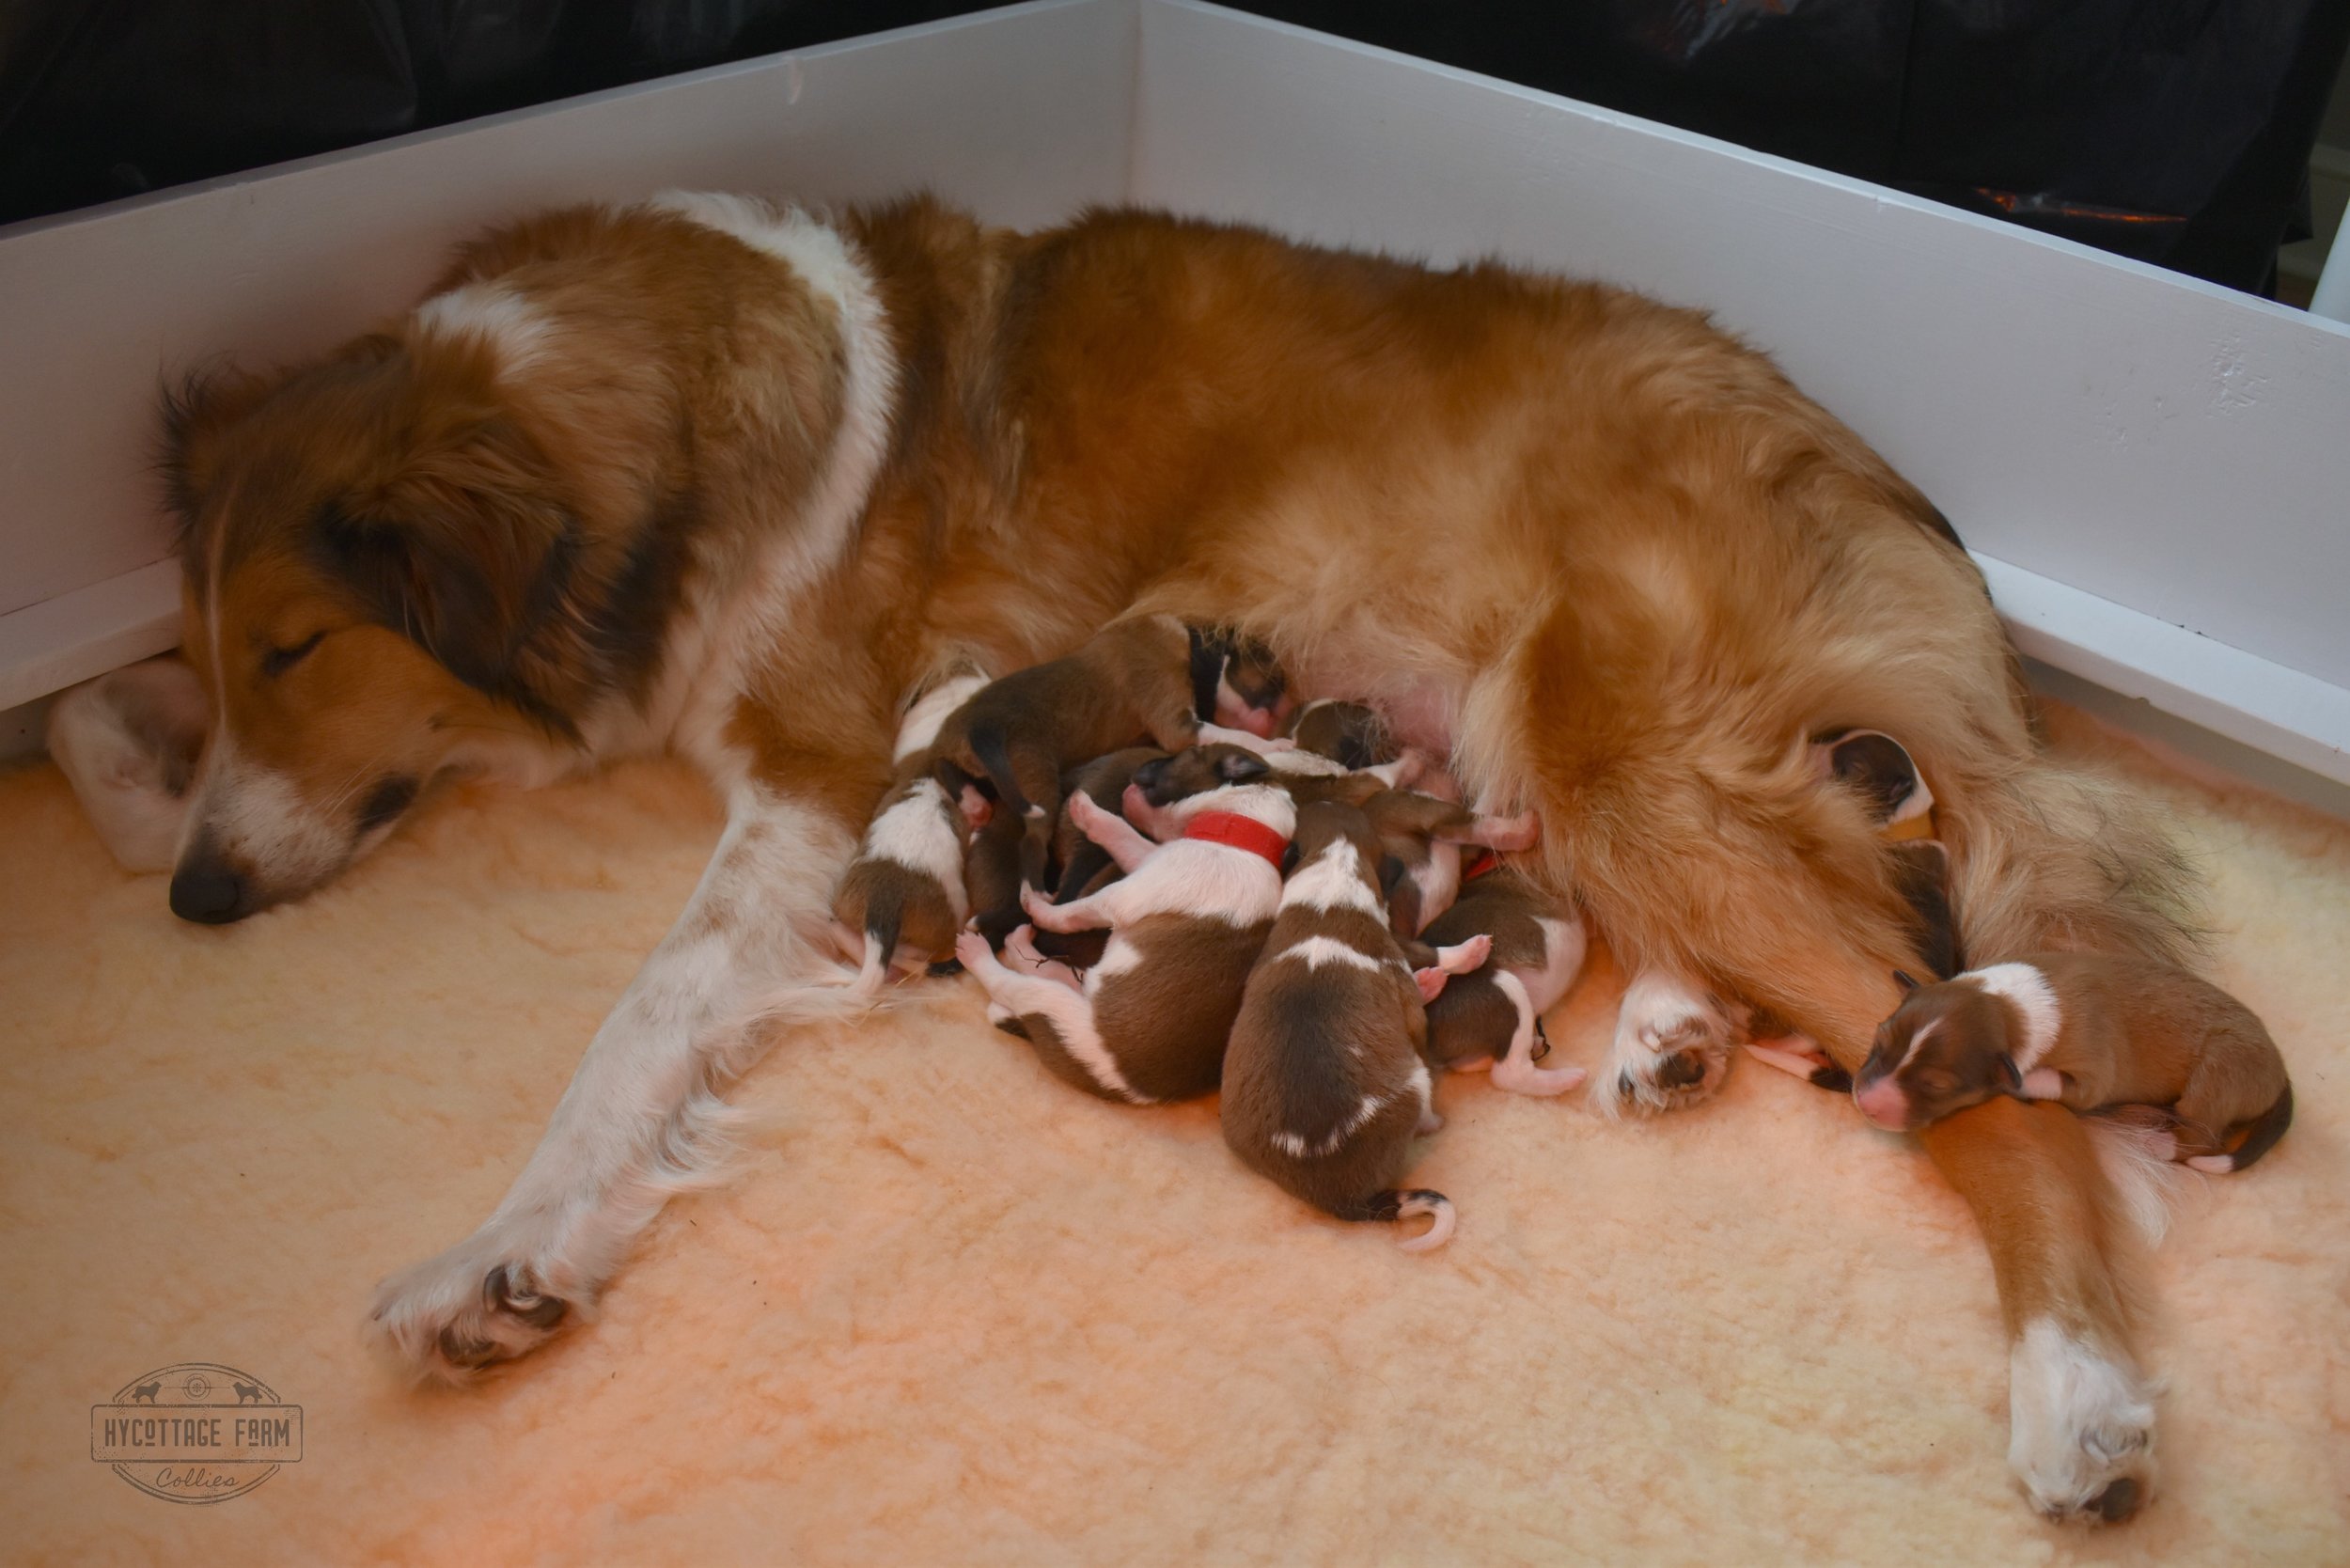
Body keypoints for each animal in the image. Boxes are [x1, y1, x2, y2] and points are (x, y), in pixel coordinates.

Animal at [945, 747, 1297, 1105]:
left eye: (1186, 754)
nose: (1138, 769)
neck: (1240, 834)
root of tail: (1130, 1089)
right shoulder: (1146, 856)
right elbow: (1122, 835)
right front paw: (1087, 810)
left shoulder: (1122, 897)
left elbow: (1073, 913)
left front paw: (1039, 907)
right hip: (1084, 988)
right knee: (1059, 974)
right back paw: (1019, 945)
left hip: (1057, 1008)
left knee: (1011, 983)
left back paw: (983, 949)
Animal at [1213, 804, 1485, 1260]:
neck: (1333, 877)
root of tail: (1346, 1200)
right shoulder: (1400, 967)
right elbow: (1431, 955)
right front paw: (1468, 953)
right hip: (1413, 1082)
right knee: (1424, 1110)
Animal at [1842, 949, 2284, 1170]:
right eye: (1879, 1039)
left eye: (1935, 1085)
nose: (1865, 1103)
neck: (2008, 1007)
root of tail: (2282, 1076)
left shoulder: (2093, 1069)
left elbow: (2059, 1082)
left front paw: (2021, 1083)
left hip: (2223, 1071)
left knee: (2204, 1136)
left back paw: (2158, 1143)